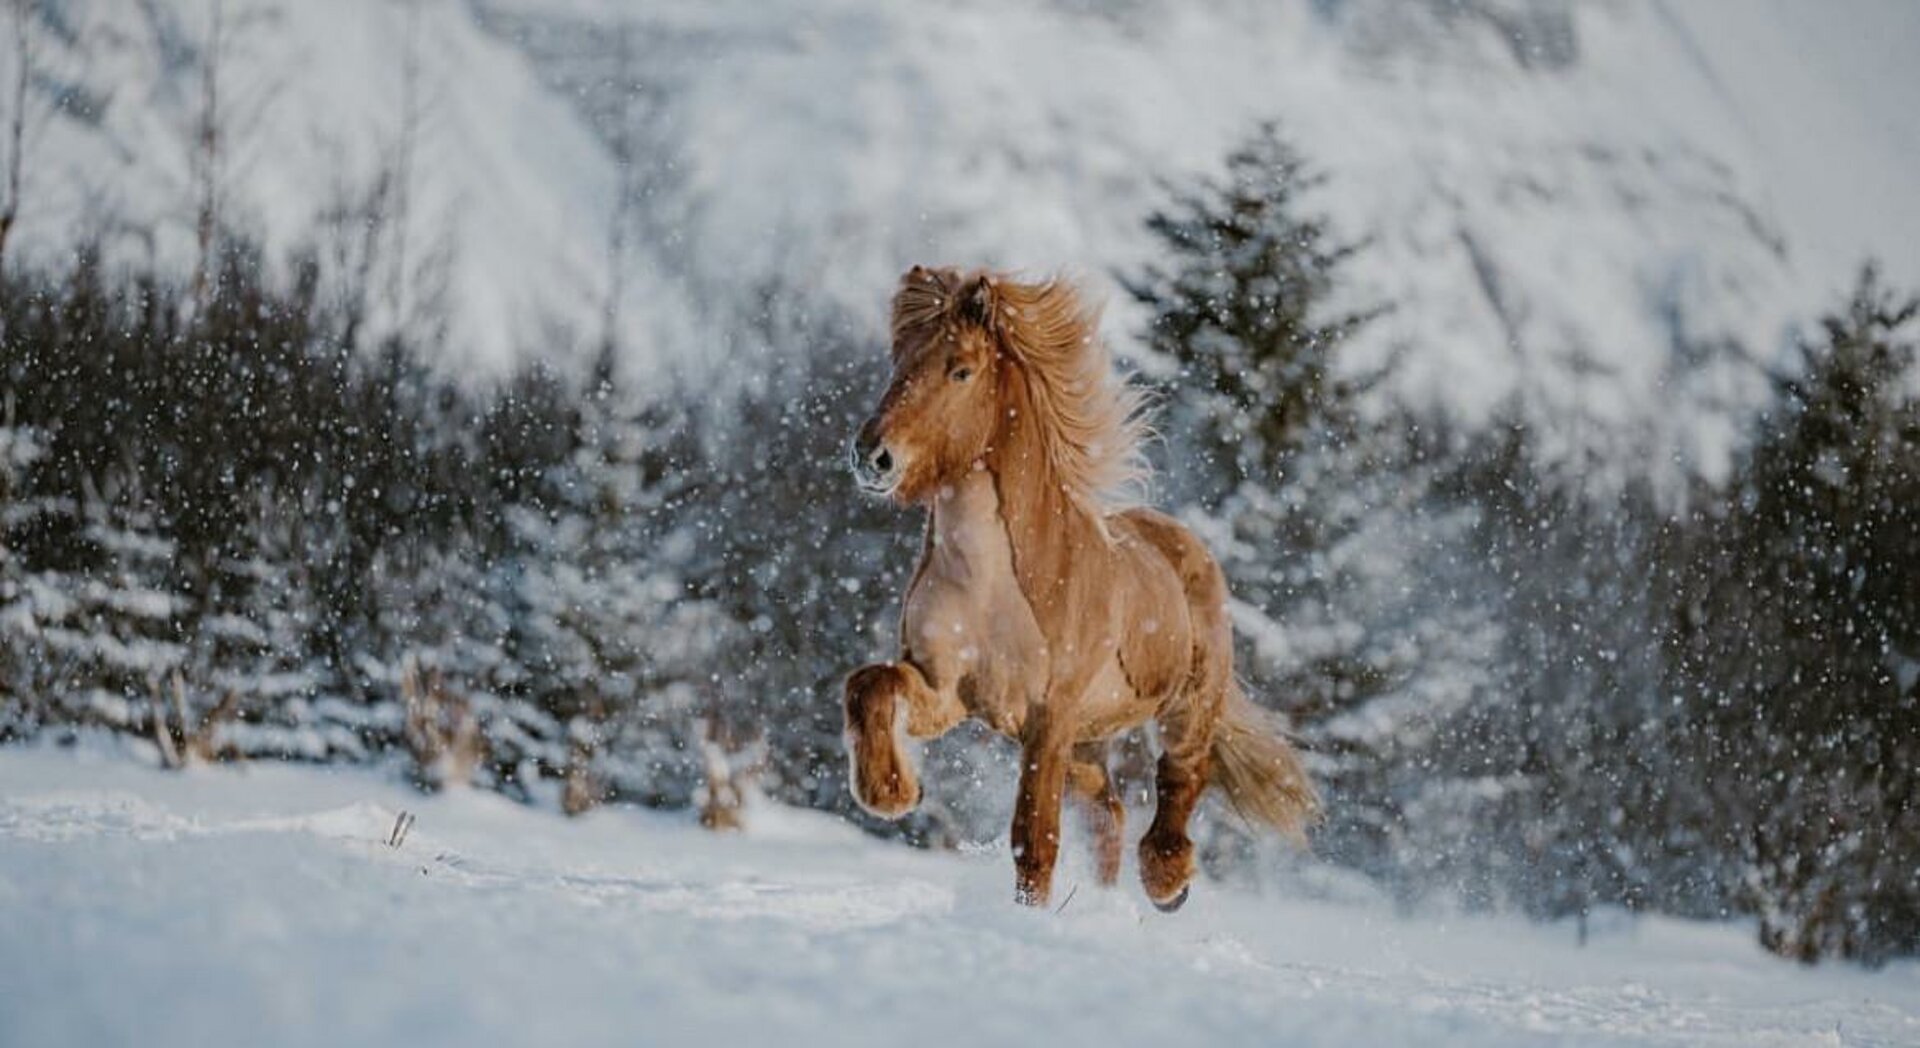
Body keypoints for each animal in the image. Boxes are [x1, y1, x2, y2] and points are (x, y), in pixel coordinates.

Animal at [844, 262, 1320, 905]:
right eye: (900, 361)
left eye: (960, 368)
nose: (872, 457)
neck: (988, 583)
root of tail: (1186, 547)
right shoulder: (949, 689)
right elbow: (869, 683)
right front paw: (892, 792)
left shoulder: (1050, 716)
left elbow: (1034, 840)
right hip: (1088, 744)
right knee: (1108, 816)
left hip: (1182, 705)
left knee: (1181, 773)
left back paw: (1168, 881)